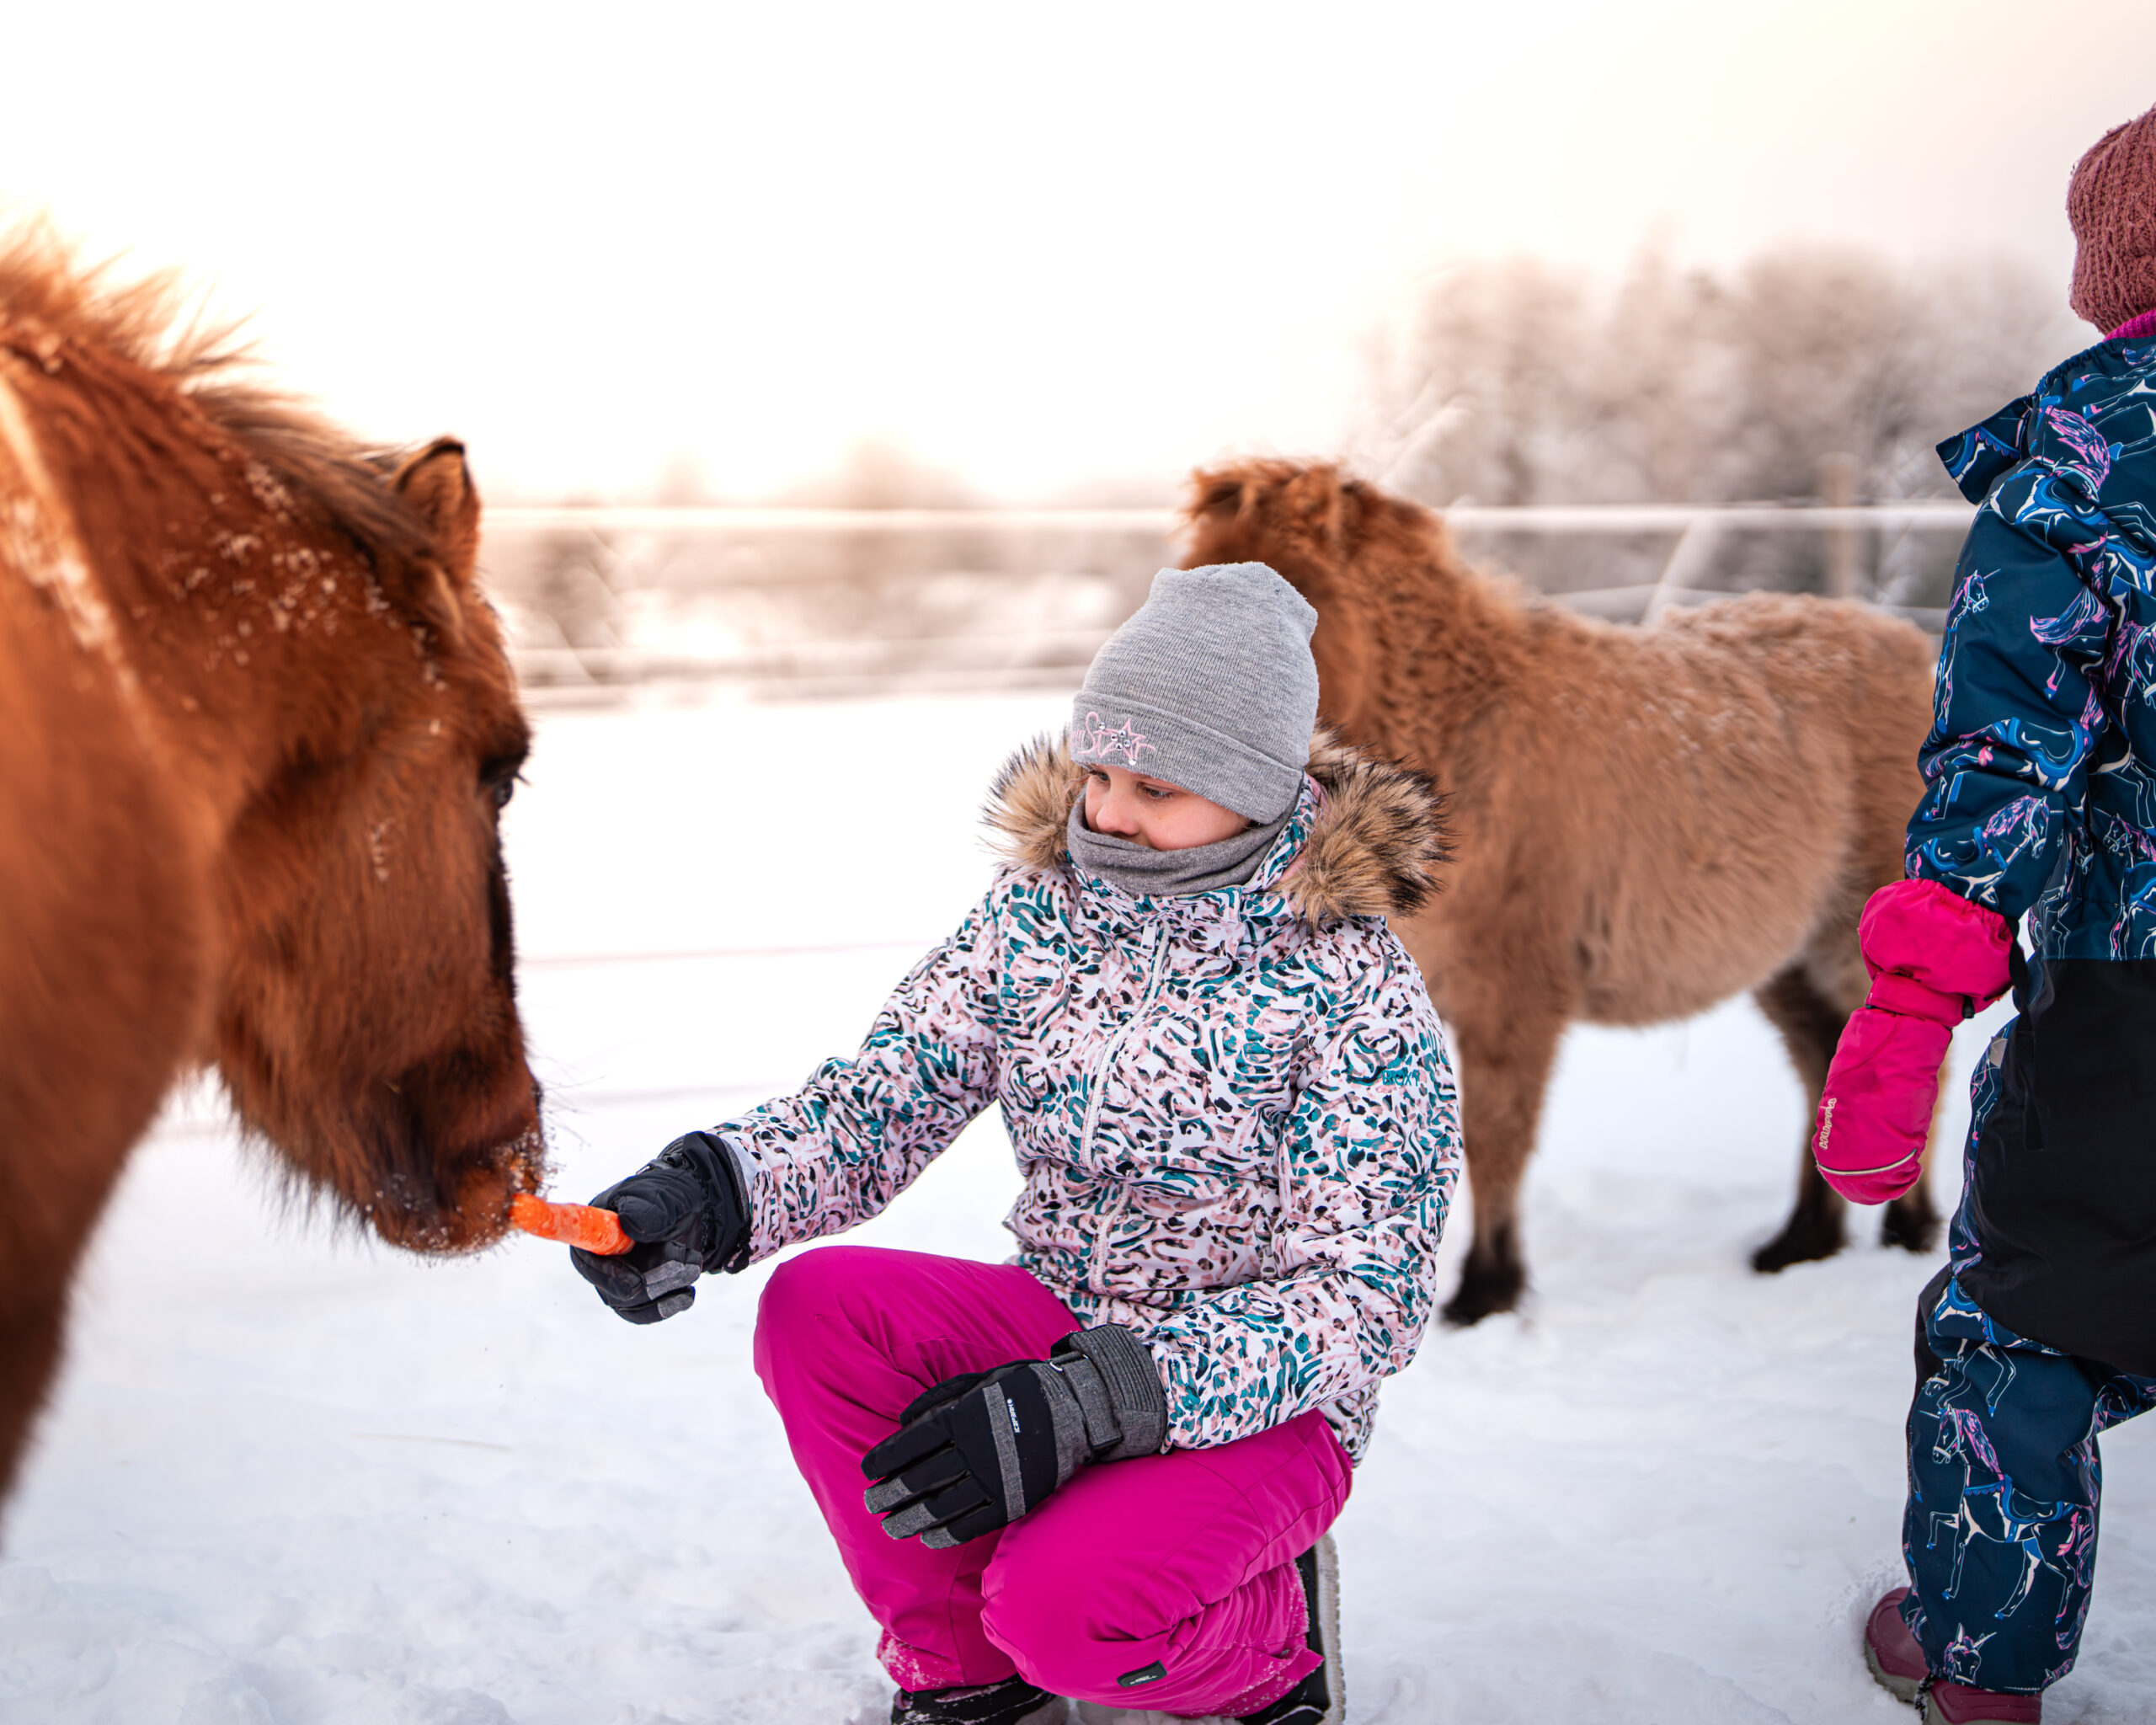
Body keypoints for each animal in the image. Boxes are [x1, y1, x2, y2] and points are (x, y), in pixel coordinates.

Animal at [1190, 455, 1949, 1319]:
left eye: (1280, 588)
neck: (1463, 728)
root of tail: (1914, 651)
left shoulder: (1512, 995)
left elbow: (1496, 1138)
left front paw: (1485, 1292)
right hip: (1788, 963)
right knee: (1824, 1068)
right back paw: (1801, 1243)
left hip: (1856, 943)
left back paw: (1908, 1230)